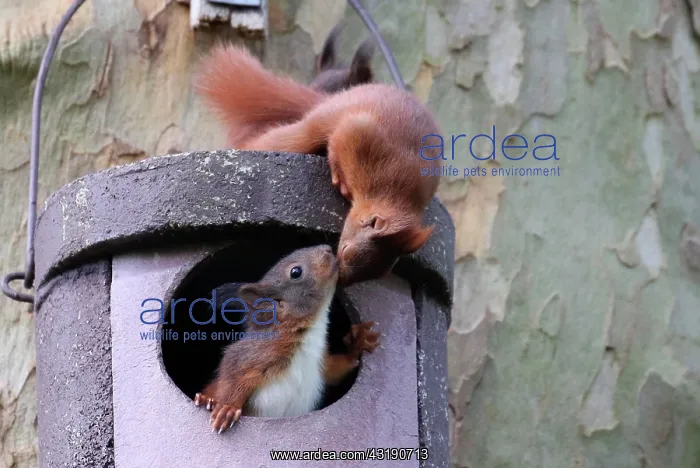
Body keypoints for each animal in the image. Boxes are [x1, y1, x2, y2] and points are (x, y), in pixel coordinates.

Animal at [193, 245, 380, 433]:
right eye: (295, 272)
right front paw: (228, 408)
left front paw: (357, 343)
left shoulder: (321, 364)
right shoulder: (256, 352)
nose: (327, 249)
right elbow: (232, 375)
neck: (310, 336)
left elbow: (338, 369)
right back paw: (207, 400)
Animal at [196, 45, 442, 285]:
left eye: (378, 273)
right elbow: (337, 146)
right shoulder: (358, 133)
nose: (341, 281)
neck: (395, 191)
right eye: (345, 249)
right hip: (317, 124)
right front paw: (339, 177)